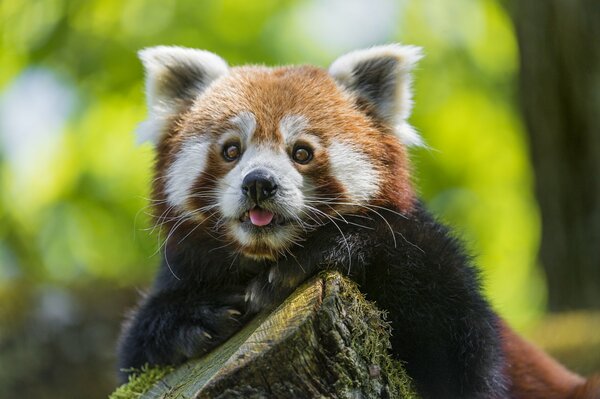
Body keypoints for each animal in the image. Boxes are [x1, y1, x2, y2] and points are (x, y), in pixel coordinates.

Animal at [118, 44, 600, 399]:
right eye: (231, 150)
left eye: (301, 152)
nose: (259, 184)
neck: (266, 256)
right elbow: (135, 347)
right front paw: (195, 317)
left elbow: (463, 349)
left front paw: (325, 251)